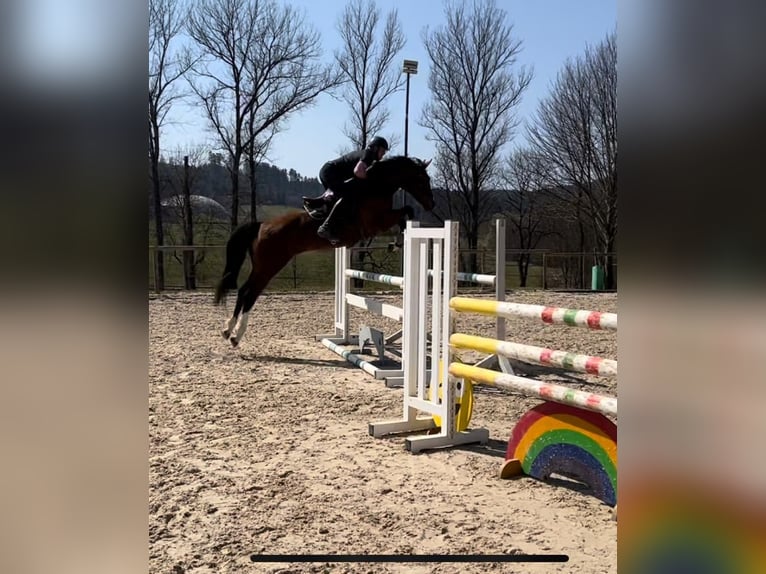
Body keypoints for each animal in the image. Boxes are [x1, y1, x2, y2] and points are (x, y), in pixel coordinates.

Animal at [213, 155, 435, 346]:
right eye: (423, 179)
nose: (431, 205)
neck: (375, 187)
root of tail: (261, 225)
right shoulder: (376, 223)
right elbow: (406, 211)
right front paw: (397, 243)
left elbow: (405, 213)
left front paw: (396, 242)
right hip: (270, 265)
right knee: (250, 293)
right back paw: (237, 335)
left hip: (261, 266)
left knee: (243, 290)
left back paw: (227, 330)